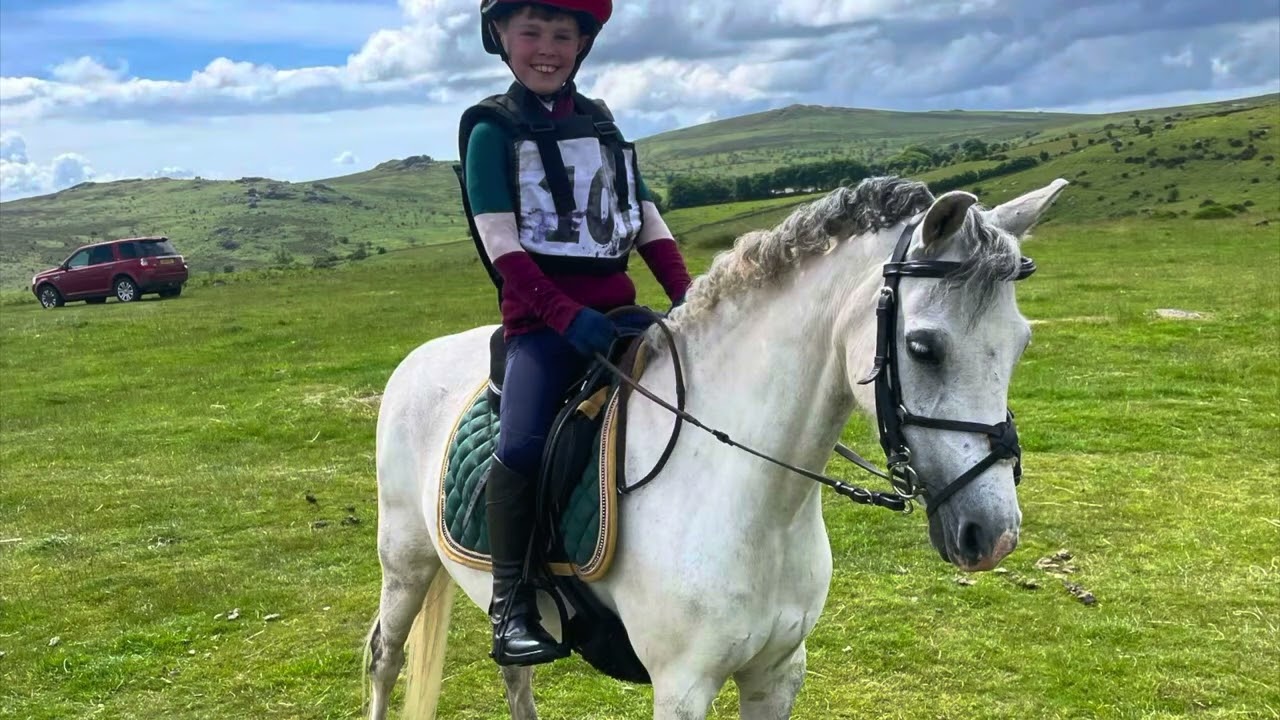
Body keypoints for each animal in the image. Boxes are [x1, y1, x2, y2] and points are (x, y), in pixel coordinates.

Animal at [366, 175, 1069, 719]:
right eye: (923, 347)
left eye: (1022, 343)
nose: (994, 535)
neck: (752, 502)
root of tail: (419, 358)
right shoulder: (682, 686)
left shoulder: (778, 672)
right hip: (406, 561)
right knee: (384, 656)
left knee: (514, 673)